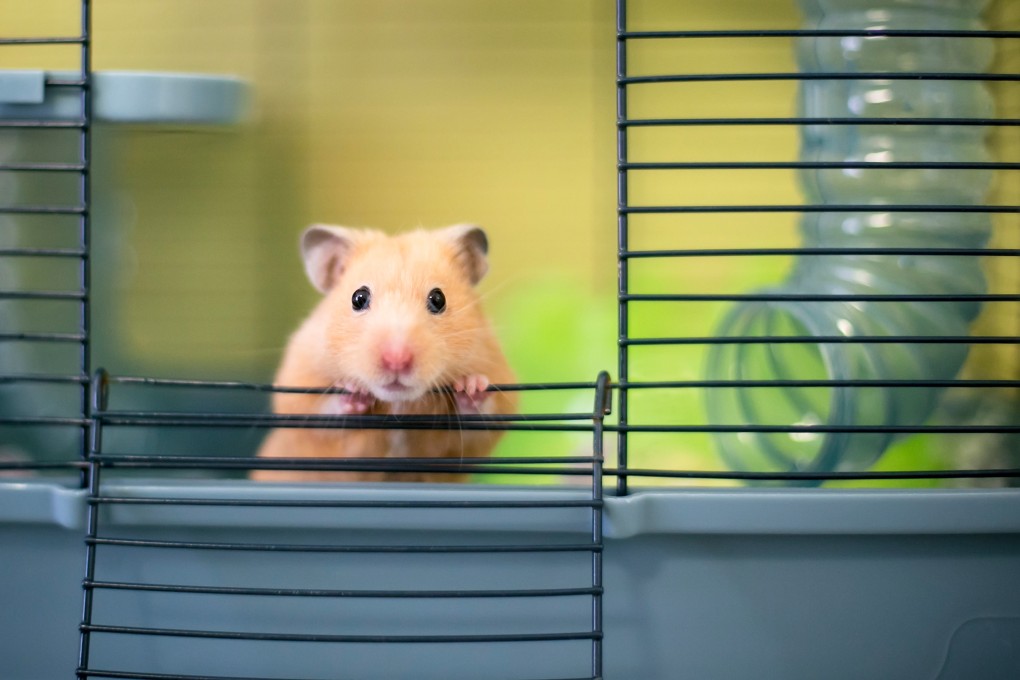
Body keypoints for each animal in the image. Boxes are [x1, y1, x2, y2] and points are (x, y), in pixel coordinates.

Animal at [252, 223, 518, 483]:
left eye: (438, 299)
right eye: (358, 298)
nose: (396, 361)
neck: (397, 403)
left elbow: (481, 416)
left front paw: (471, 386)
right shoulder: (299, 385)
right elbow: (320, 410)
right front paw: (354, 391)